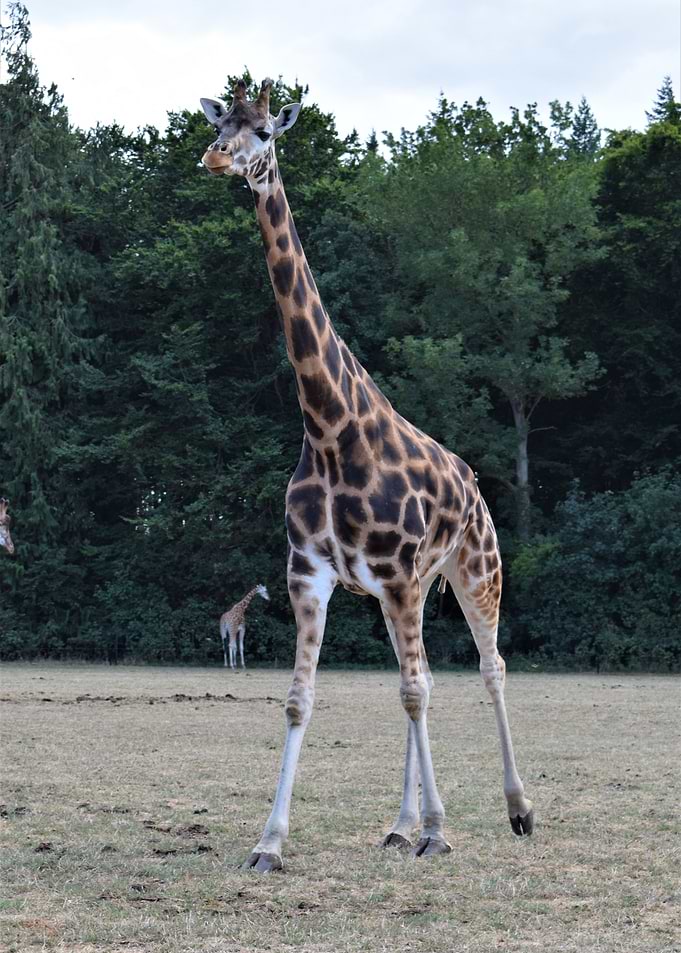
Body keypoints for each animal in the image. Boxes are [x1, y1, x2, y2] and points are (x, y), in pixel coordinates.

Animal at [200, 79, 534, 872]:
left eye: (265, 130)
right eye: (221, 123)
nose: (214, 157)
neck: (328, 427)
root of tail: (475, 485)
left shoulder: (402, 576)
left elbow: (416, 691)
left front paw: (440, 829)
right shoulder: (312, 575)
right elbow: (303, 698)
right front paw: (269, 842)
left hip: (476, 568)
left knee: (488, 667)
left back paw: (516, 809)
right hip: (403, 590)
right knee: (425, 679)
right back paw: (399, 823)